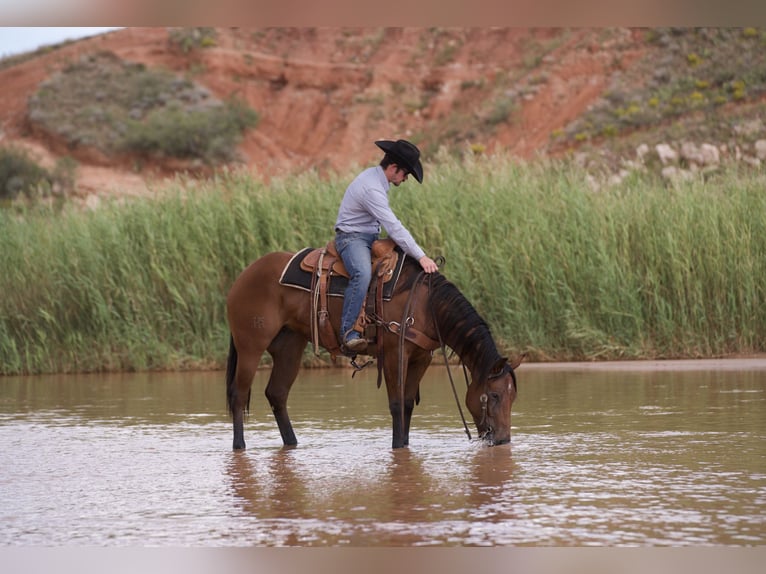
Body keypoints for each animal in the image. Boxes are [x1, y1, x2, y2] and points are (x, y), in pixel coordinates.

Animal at [225, 247, 520, 450]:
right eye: (494, 395)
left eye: (512, 396)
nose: (503, 440)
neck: (425, 304)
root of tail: (243, 276)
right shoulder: (393, 354)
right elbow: (397, 403)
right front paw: (397, 446)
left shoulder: (421, 358)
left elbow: (408, 403)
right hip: (250, 347)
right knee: (239, 395)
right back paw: (239, 446)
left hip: (290, 346)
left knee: (277, 394)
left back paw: (292, 443)